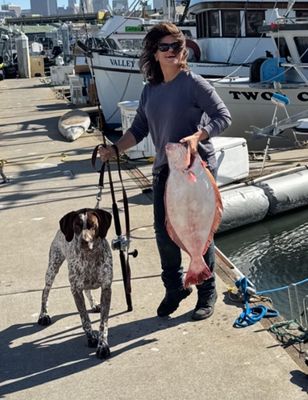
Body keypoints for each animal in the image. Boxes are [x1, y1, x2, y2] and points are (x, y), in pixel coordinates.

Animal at [37, 209, 112, 360]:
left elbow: (103, 323)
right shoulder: (76, 290)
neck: (90, 257)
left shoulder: (106, 288)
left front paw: (103, 345)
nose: (85, 241)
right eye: (76, 225)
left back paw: (94, 304)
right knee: (45, 291)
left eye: (93, 225)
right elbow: (85, 319)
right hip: (53, 266)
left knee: (88, 290)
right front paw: (91, 338)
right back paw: (43, 315)